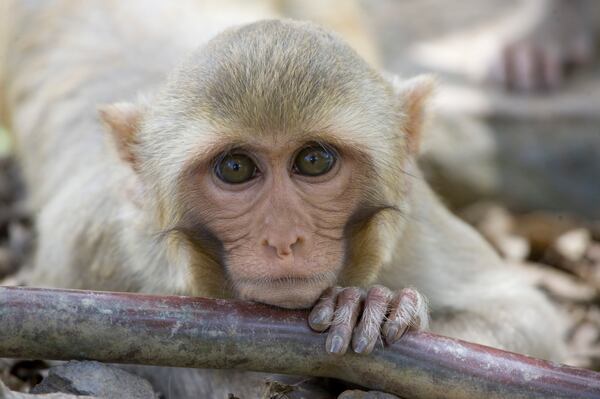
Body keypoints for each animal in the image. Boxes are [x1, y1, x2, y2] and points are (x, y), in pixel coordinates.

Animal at [0, 0, 564, 398]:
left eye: (313, 160)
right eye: (235, 168)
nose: (283, 238)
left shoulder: (413, 221)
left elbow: (522, 316)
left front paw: (373, 307)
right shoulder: (89, 248)